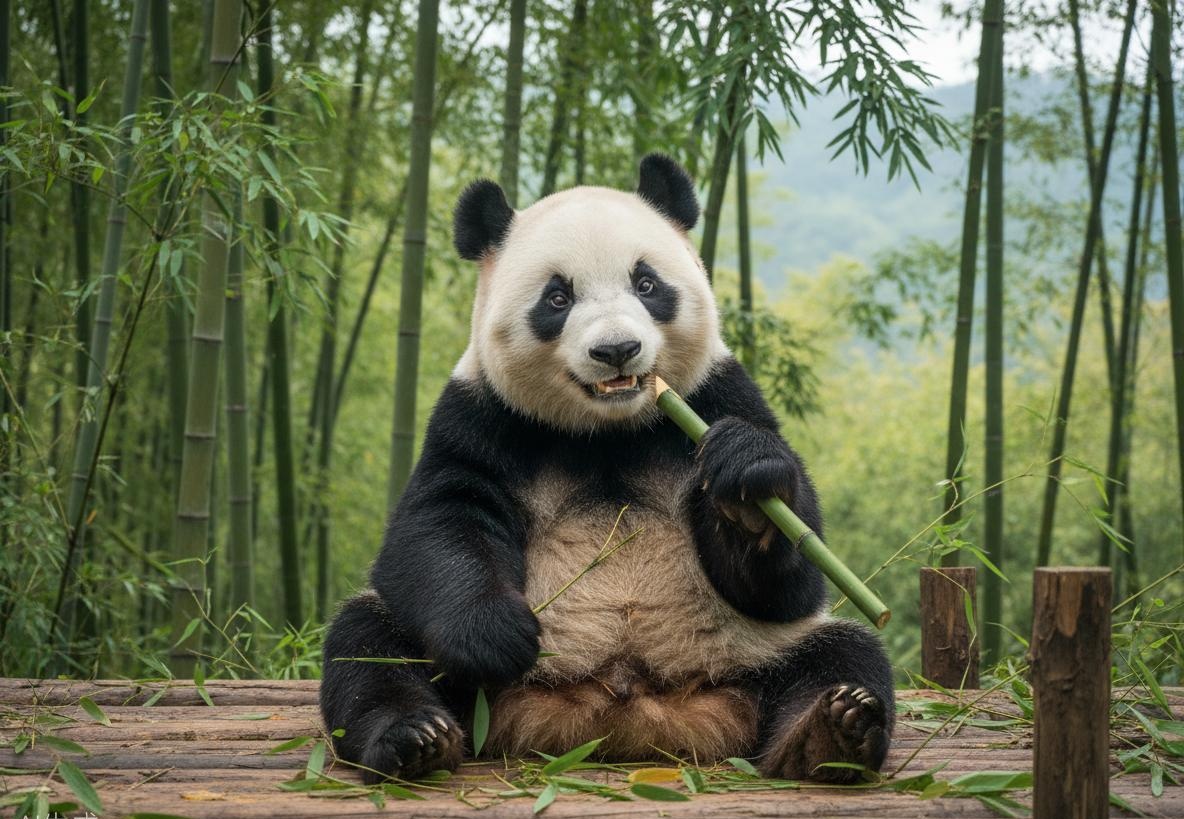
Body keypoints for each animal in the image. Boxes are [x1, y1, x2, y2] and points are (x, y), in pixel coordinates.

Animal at [320, 154, 893, 785]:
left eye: (646, 284)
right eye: (557, 298)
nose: (616, 350)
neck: (608, 431)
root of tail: (622, 719)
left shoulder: (718, 394)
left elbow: (789, 582)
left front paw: (746, 488)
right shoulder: (479, 417)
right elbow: (436, 526)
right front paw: (497, 634)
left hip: (755, 651)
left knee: (841, 653)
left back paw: (830, 733)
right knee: (368, 646)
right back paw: (415, 738)